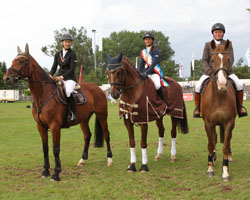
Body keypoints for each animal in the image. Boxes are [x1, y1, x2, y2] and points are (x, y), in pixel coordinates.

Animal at [2, 43, 112, 181]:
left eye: (21, 61)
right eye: (13, 60)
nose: (6, 78)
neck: (43, 94)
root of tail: (99, 89)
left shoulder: (55, 126)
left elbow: (56, 149)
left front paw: (56, 173)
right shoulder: (41, 126)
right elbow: (45, 148)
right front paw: (45, 171)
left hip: (102, 116)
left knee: (106, 134)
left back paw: (109, 159)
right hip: (83, 119)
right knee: (87, 136)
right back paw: (82, 160)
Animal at [200, 39, 237, 181]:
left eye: (228, 59)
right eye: (212, 60)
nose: (221, 83)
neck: (219, 96)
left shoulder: (229, 123)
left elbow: (225, 146)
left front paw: (225, 172)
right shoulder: (208, 123)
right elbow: (211, 144)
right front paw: (210, 168)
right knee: (214, 139)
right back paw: (213, 158)